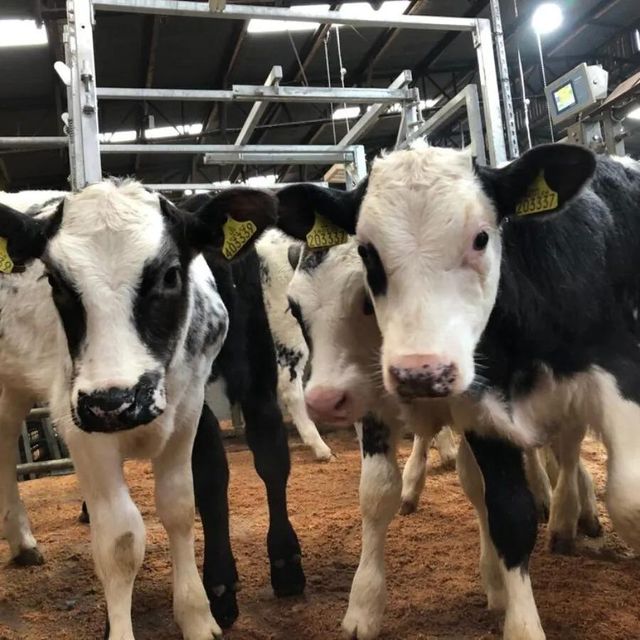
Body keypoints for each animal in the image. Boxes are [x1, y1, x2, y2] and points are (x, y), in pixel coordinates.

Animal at [0, 179, 276, 639]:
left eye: (170, 274)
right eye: (55, 282)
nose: (114, 401)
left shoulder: (187, 411)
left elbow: (180, 507)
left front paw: (198, 616)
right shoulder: (82, 425)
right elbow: (121, 540)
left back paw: (21, 540)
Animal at [276, 143, 639, 640]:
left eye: (481, 238)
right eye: (295, 307)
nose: (324, 400)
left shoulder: (617, 371)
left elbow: (629, 497)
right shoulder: (466, 415)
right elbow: (492, 512)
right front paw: (363, 606)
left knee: (566, 452)